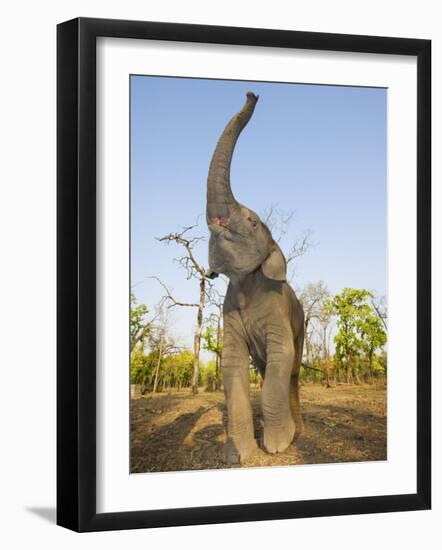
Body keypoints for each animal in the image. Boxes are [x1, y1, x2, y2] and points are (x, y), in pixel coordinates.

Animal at [206, 91, 304, 466]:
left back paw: (299, 431)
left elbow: (282, 356)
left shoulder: (277, 310)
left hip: (303, 323)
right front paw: (239, 456)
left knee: (292, 371)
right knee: (265, 369)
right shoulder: (229, 313)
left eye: (250, 222)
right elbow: (232, 365)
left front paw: (276, 446)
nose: (252, 94)